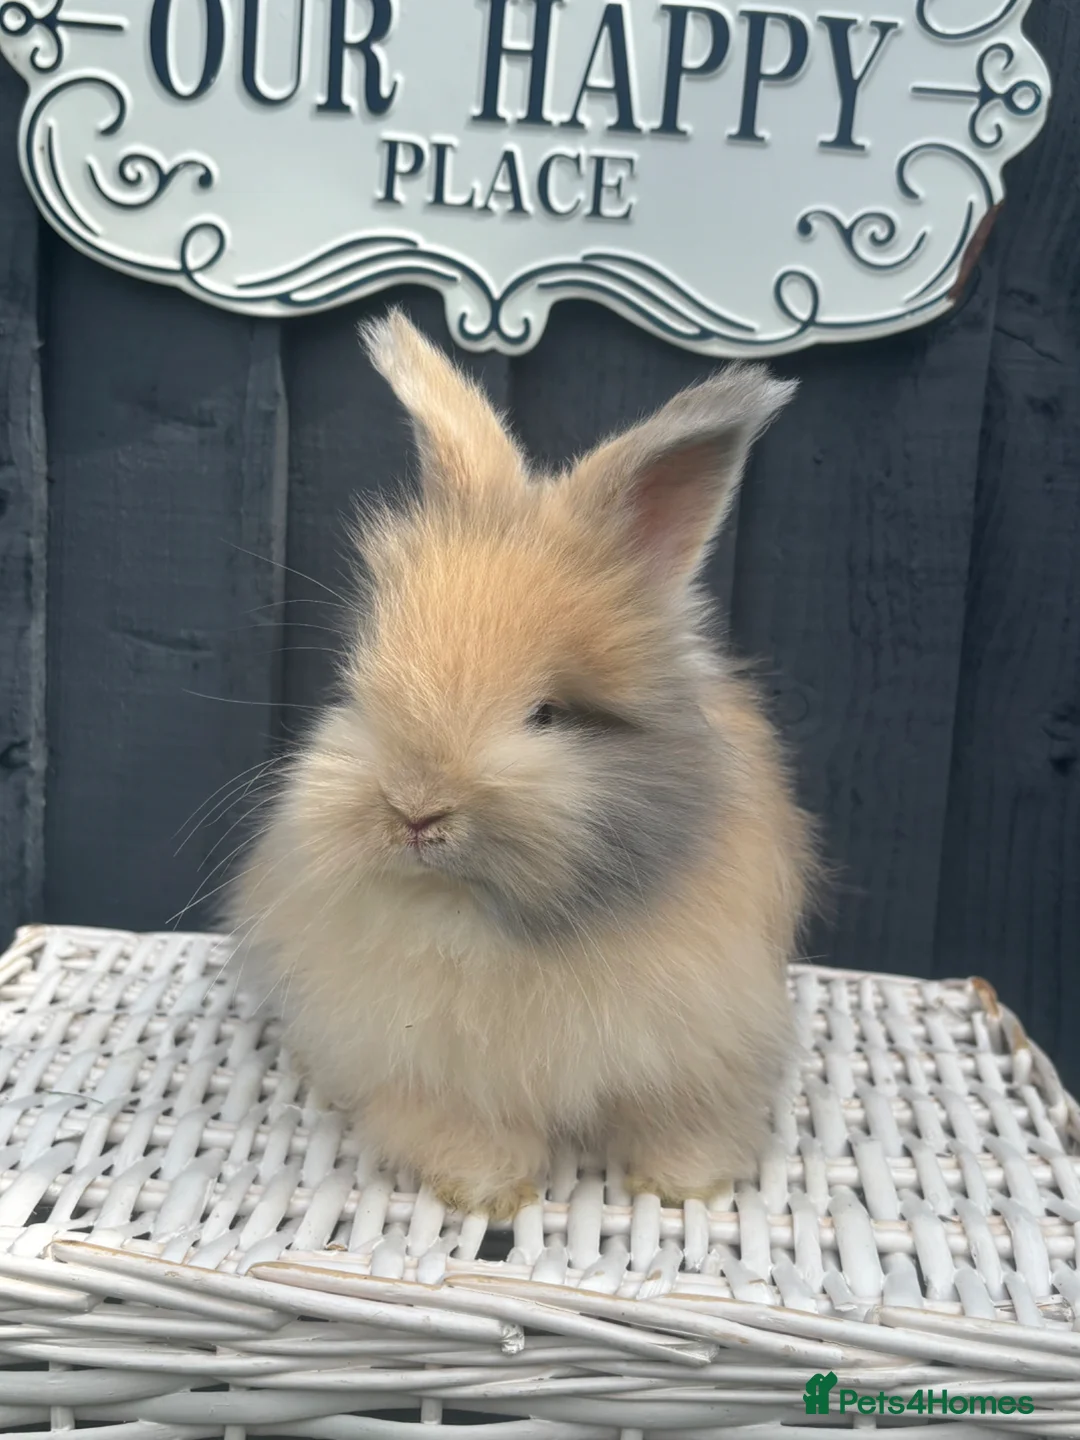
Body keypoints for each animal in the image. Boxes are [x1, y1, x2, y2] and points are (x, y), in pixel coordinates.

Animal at [226, 309, 817, 1220]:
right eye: (361, 684)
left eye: (549, 715)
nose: (416, 811)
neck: (488, 919)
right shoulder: (428, 1064)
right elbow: (461, 1128)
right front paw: (488, 1192)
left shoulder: (700, 1043)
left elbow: (683, 1122)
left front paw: (685, 1185)